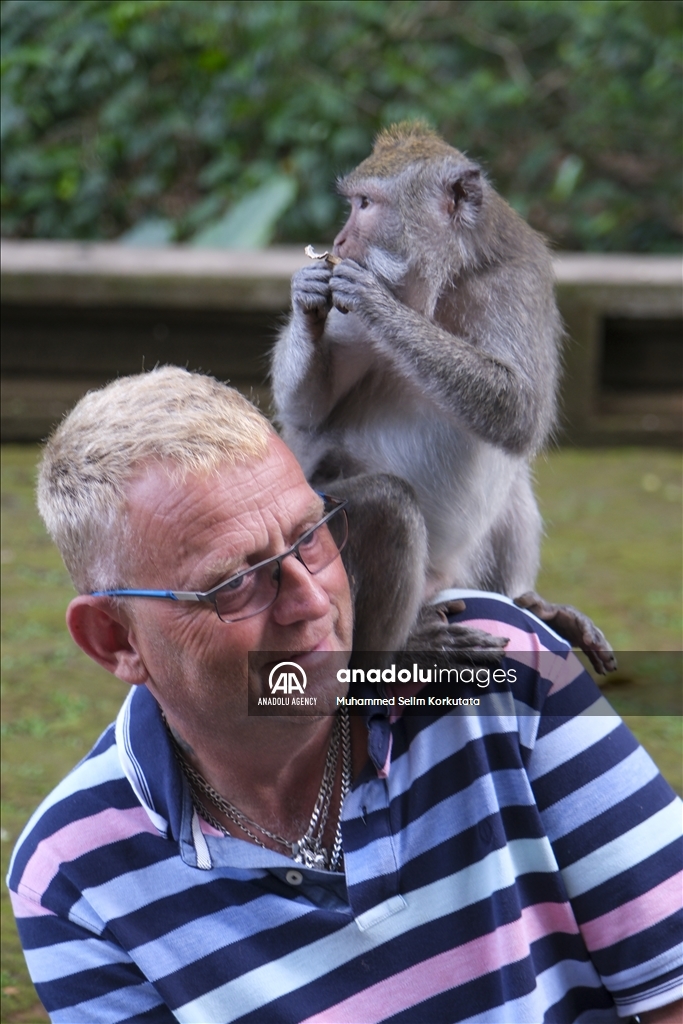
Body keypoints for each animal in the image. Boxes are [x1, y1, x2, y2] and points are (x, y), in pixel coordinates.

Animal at [270, 121, 614, 671]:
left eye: (365, 204)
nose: (338, 240)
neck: (446, 280)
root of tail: (440, 582)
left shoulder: (517, 282)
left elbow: (520, 410)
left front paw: (375, 302)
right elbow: (309, 415)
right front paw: (306, 291)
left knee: (509, 481)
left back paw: (528, 601)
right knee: (387, 503)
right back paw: (395, 651)